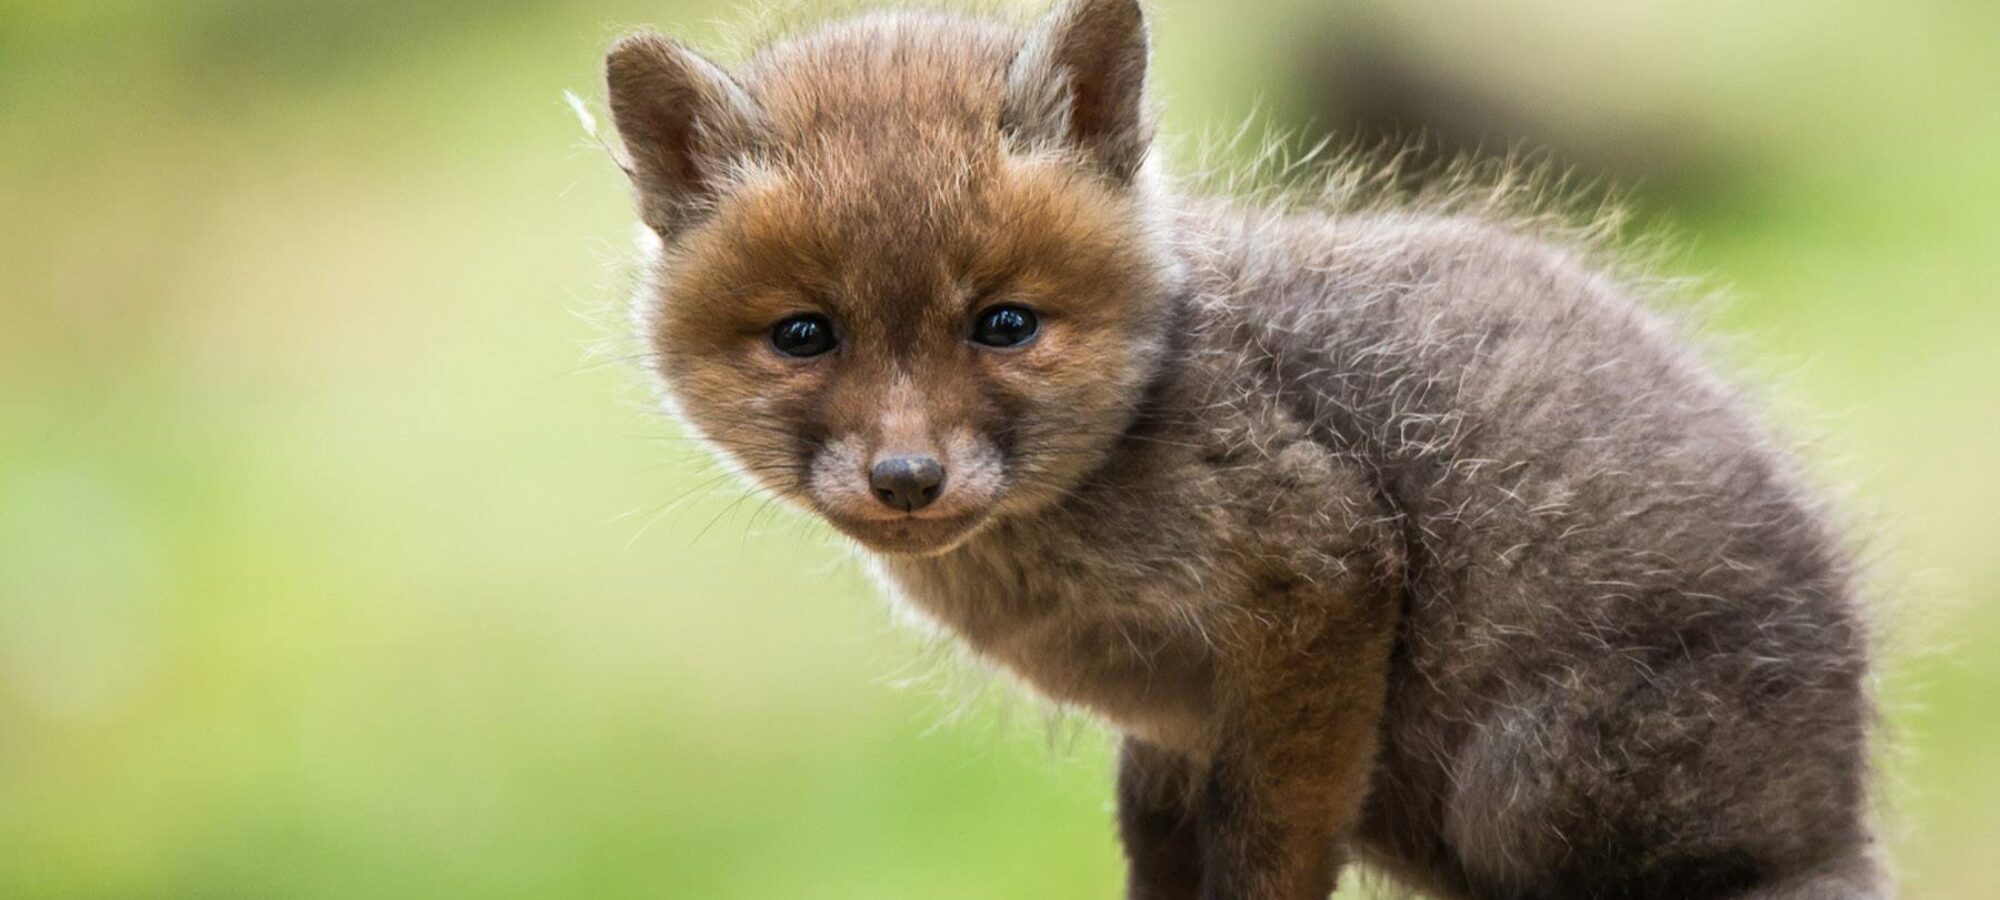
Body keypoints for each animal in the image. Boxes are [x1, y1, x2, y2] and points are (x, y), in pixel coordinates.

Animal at [600, 0, 1883, 897]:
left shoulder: (1320, 576)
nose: (906, 480)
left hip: (1519, 784)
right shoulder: (1170, 743)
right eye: (804, 335)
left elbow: (1269, 850)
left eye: (1004, 325)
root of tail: (1841, 807)